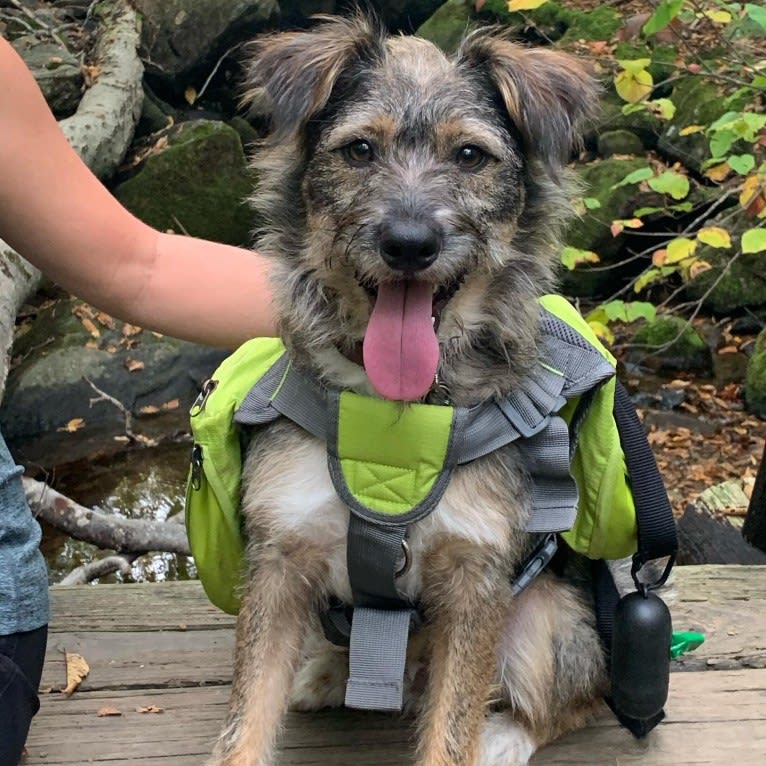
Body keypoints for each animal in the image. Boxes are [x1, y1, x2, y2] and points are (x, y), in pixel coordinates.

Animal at [207, 13, 608, 766]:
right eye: (360, 149)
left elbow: (451, 728)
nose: (409, 242)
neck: (396, 413)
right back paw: (328, 670)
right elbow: (246, 719)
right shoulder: (279, 555)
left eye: (471, 156)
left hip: (551, 615)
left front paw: (474, 737)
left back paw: (507, 735)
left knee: (579, 694)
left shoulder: (478, 578)